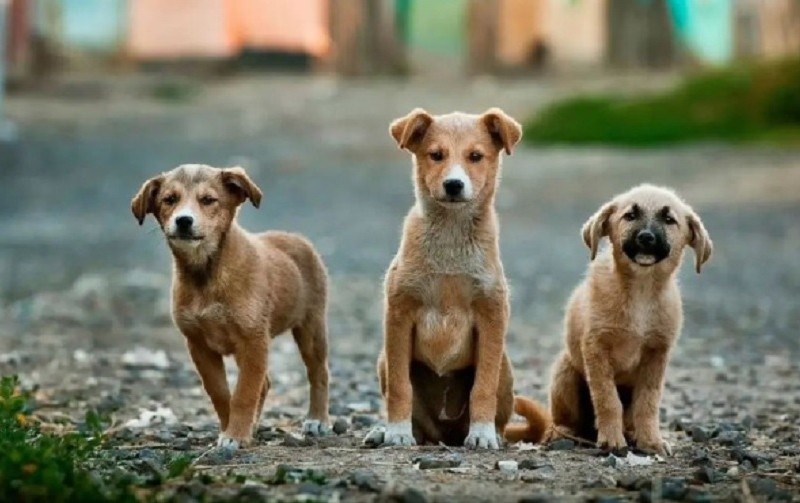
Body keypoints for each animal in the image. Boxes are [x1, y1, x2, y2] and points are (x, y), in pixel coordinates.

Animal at [132, 164, 332, 448]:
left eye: (208, 200)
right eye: (169, 199)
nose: (184, 221)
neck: (206, 274)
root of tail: (296, 238)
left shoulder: (253, 340)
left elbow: (244, 393)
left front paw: (236, 435)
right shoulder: (199, 344)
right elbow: (221, 393)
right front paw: (231, 430)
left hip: (311, 327)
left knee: (318, 373)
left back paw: (317, 419)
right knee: (266, 383)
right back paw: (255, 425)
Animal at [368, 108, 552, 450]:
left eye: (475, 156)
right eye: (436, 155)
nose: (454, 184)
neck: (451, 239)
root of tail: (447, 435)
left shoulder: (491, 315)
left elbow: (483, 386)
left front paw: (482, 433)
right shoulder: (399, 314)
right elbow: (400, 387)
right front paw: (396, 431)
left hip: (505, 367)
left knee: (497, 410)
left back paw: (492, 433)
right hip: (383, 360)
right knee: (419, 423)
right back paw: (386, 431)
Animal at [552, 185, 712, 456]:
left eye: (669, 219)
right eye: (630, 215)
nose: (646, 237)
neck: (641, 290)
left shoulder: (656, 354)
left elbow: (647, 403)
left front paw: (651, 441)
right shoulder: (596, 348)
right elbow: (607, 399)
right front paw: (611, 439)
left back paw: (632, 433)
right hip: (565, 371)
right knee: (563, 420)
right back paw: (565, 433)